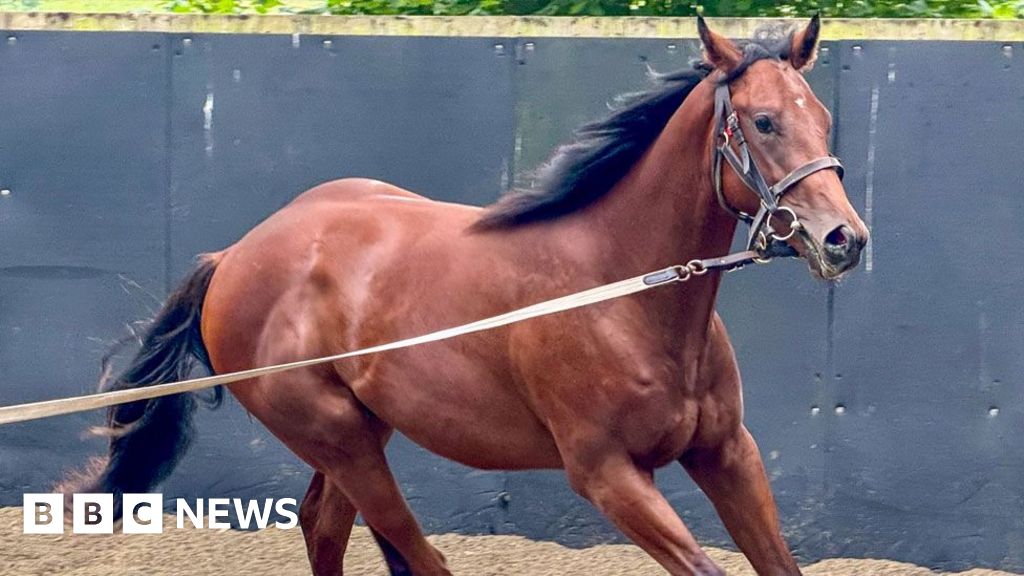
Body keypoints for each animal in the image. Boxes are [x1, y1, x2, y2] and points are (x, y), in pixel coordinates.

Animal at [61, 15, 864, 573]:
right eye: (764, 122)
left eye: (824, 118)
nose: (844, 240)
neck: (623, 292)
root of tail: (233, 257)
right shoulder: (606, 475)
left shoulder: (727, 452)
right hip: (339, 439)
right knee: (413, 553)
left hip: (360, 434)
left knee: (325, 529)